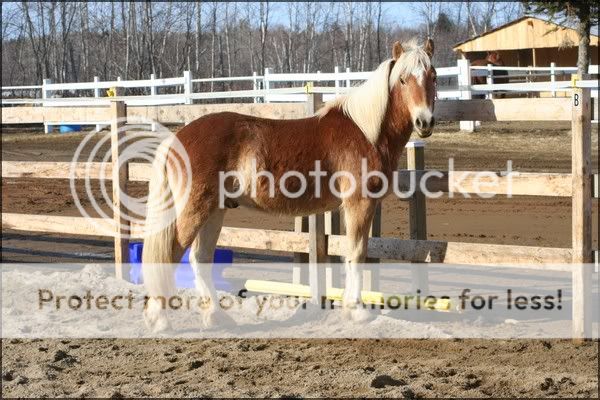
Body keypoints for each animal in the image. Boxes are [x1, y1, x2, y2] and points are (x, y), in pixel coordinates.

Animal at [143, 38, 438, 332]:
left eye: (433, 76)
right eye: (403, 79)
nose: (424, 121)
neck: (366, 132)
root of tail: (178, 137)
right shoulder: (359, 203)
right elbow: (356, 253)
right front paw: (357, 311)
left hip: (215, 209)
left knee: (200, 257)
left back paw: (216, 317)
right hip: (194, 210)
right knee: (170, 255)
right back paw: (160, 320)